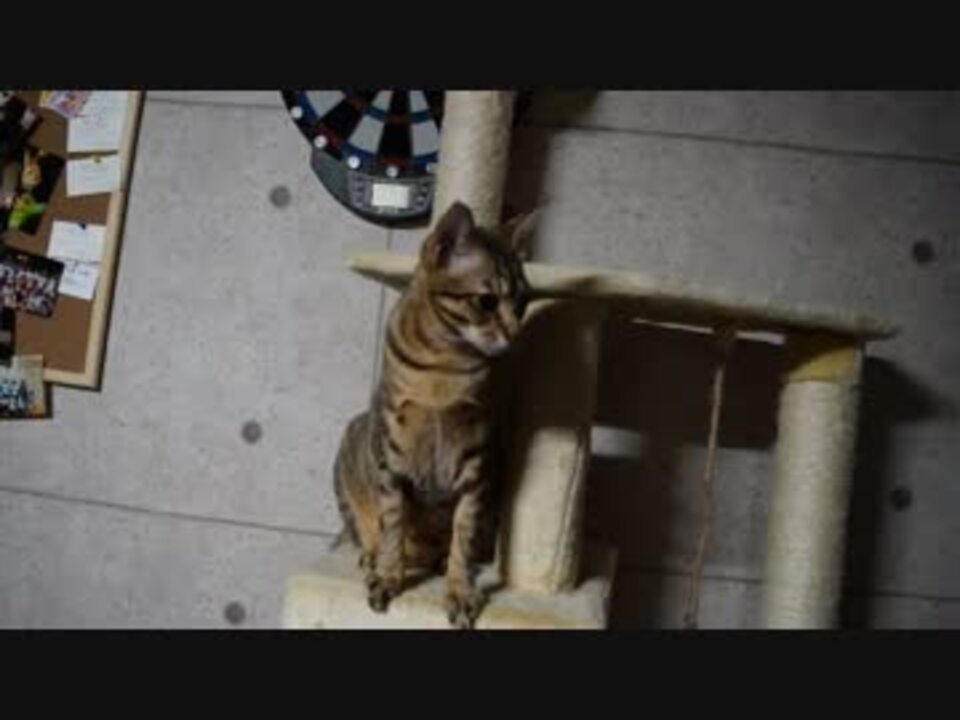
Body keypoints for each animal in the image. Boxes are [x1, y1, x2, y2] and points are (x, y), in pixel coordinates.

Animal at [332, 200, 535, 629]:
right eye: (486, 301)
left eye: (524, 303)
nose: (515, 335)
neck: (447, 365)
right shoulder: (392, 458)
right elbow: (393, 524)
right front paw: (388, 576)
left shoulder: (476, 463)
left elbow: (464, 537)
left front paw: (459, 591)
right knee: (366, 530)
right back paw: (374, 556)